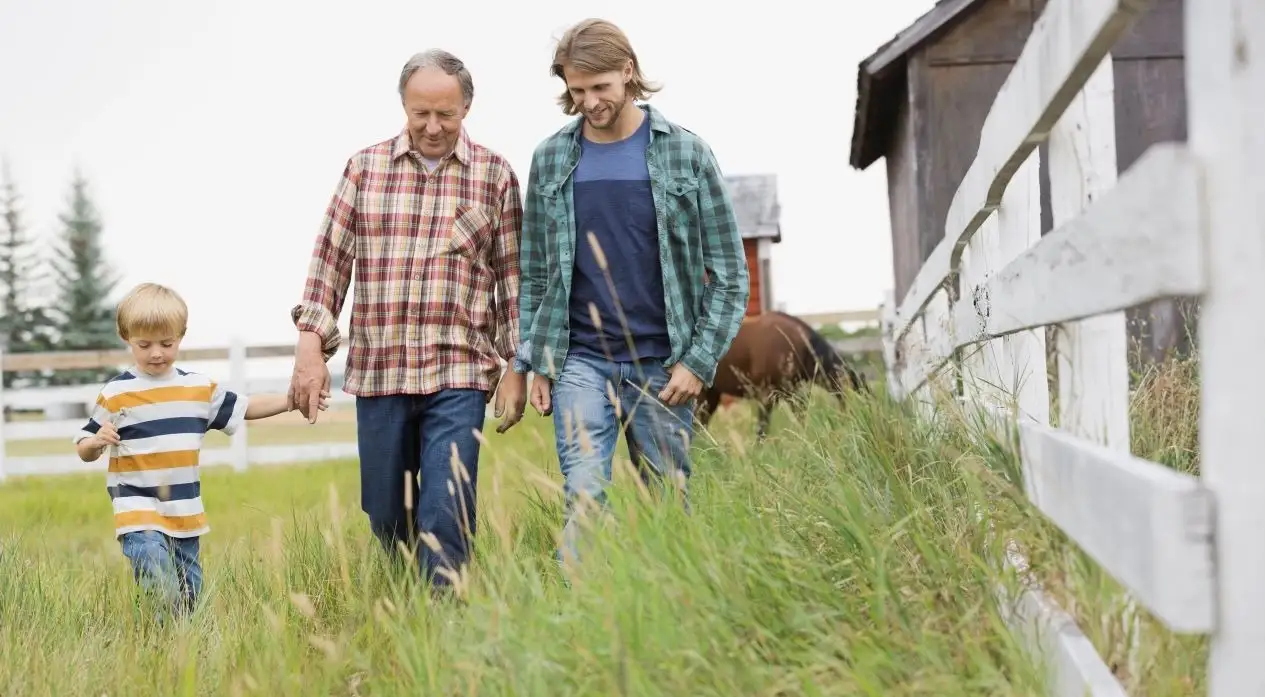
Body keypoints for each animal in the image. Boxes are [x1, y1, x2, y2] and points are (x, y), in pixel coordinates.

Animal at [698, 312, 865, 442]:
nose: (856, 424)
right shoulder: (766, 395)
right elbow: (762, 430)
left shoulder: (792, 393)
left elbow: (801, 418)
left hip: (710, 395)